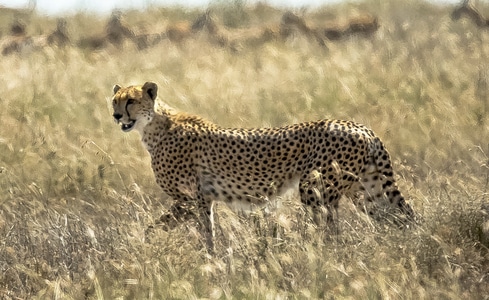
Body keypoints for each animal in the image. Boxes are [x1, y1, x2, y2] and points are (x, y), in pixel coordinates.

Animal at [109, 81, 412, 248]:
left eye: (131, 101)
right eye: (115, 101)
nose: (116, 116)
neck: (154, 126)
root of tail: (360, 126)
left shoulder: (189, 200)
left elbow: (174, 229)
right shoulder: (201, 200)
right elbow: (201, 230)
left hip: (316, 190)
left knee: (330, 230)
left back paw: (319, 255)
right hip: (366, 190)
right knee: (395, 217)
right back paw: (399, 247)